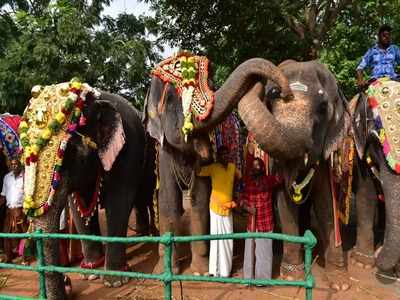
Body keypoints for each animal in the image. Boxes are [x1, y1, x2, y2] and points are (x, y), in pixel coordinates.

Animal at [19, 80, 155, 300]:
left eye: (70, 152)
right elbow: (78, 207)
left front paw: (115, 281)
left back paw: (147, 235)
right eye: (23, 154)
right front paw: (90, 273)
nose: (67, 281)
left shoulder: (128, 146)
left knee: (143, 195)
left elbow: (119, 200)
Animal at [144, 51, 290, 274]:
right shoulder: (163, 150)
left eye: (211, 86)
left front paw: (201, 271)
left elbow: (200, 199)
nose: (283, 92)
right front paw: (165, 270)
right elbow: (168, 201)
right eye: (169, 100)